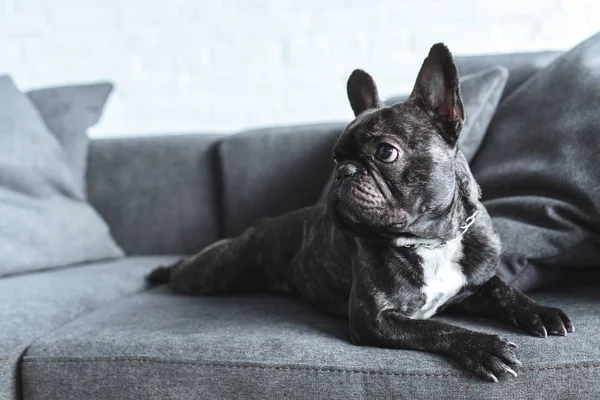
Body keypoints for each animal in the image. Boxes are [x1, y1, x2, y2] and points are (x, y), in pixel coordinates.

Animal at [148, 43, 576, 382]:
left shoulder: (471, 285)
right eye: (335, 158)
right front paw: (483, 345)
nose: (343, 172)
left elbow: (502, 287)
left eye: (385, 152)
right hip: (214, 271)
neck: (433, 241)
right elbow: (439, 328)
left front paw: (540, 311)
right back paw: (161, 271)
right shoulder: (375, 318)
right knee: (188, 269)